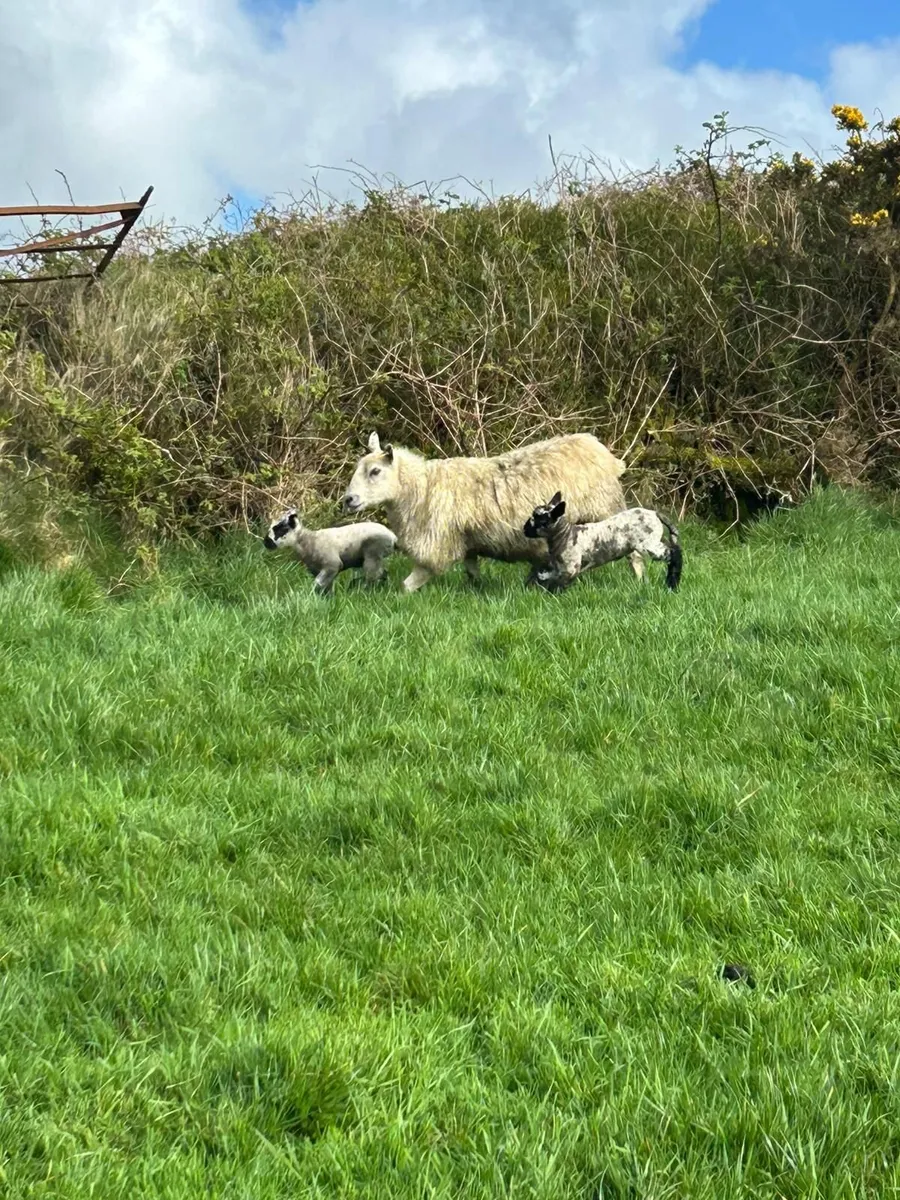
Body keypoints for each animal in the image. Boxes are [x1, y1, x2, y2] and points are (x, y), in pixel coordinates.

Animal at [263, 509, 397, 596]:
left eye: (281, 529)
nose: (266, 542)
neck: (308, 540)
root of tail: (393, 538)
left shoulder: (332, 565)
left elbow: (317, 583)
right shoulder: (318, 569)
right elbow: (326, 587)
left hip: (373, 553)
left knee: (373, 576)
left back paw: (363, 591)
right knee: (382, 573)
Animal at [341, 431, 641, 593]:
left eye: (375, 471)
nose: (348, 499)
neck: (419, 488)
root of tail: (602, 452)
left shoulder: (436, 543)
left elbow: (409, 583)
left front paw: (401, 596)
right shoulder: (467, 540)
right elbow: (472, 570)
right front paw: (477, 590)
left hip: (608, 510)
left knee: (634, 553)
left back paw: (639, 581)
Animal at [523, 491, 683, 591]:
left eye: (542, 521)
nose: (525, 529)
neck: (566, 535)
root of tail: (655, 513)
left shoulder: (571, 568)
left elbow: (557, 585)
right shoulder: (558, 568)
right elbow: (544, 576)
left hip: (648, 544)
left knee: (674, 553)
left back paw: (672, 583)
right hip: (653, 540)